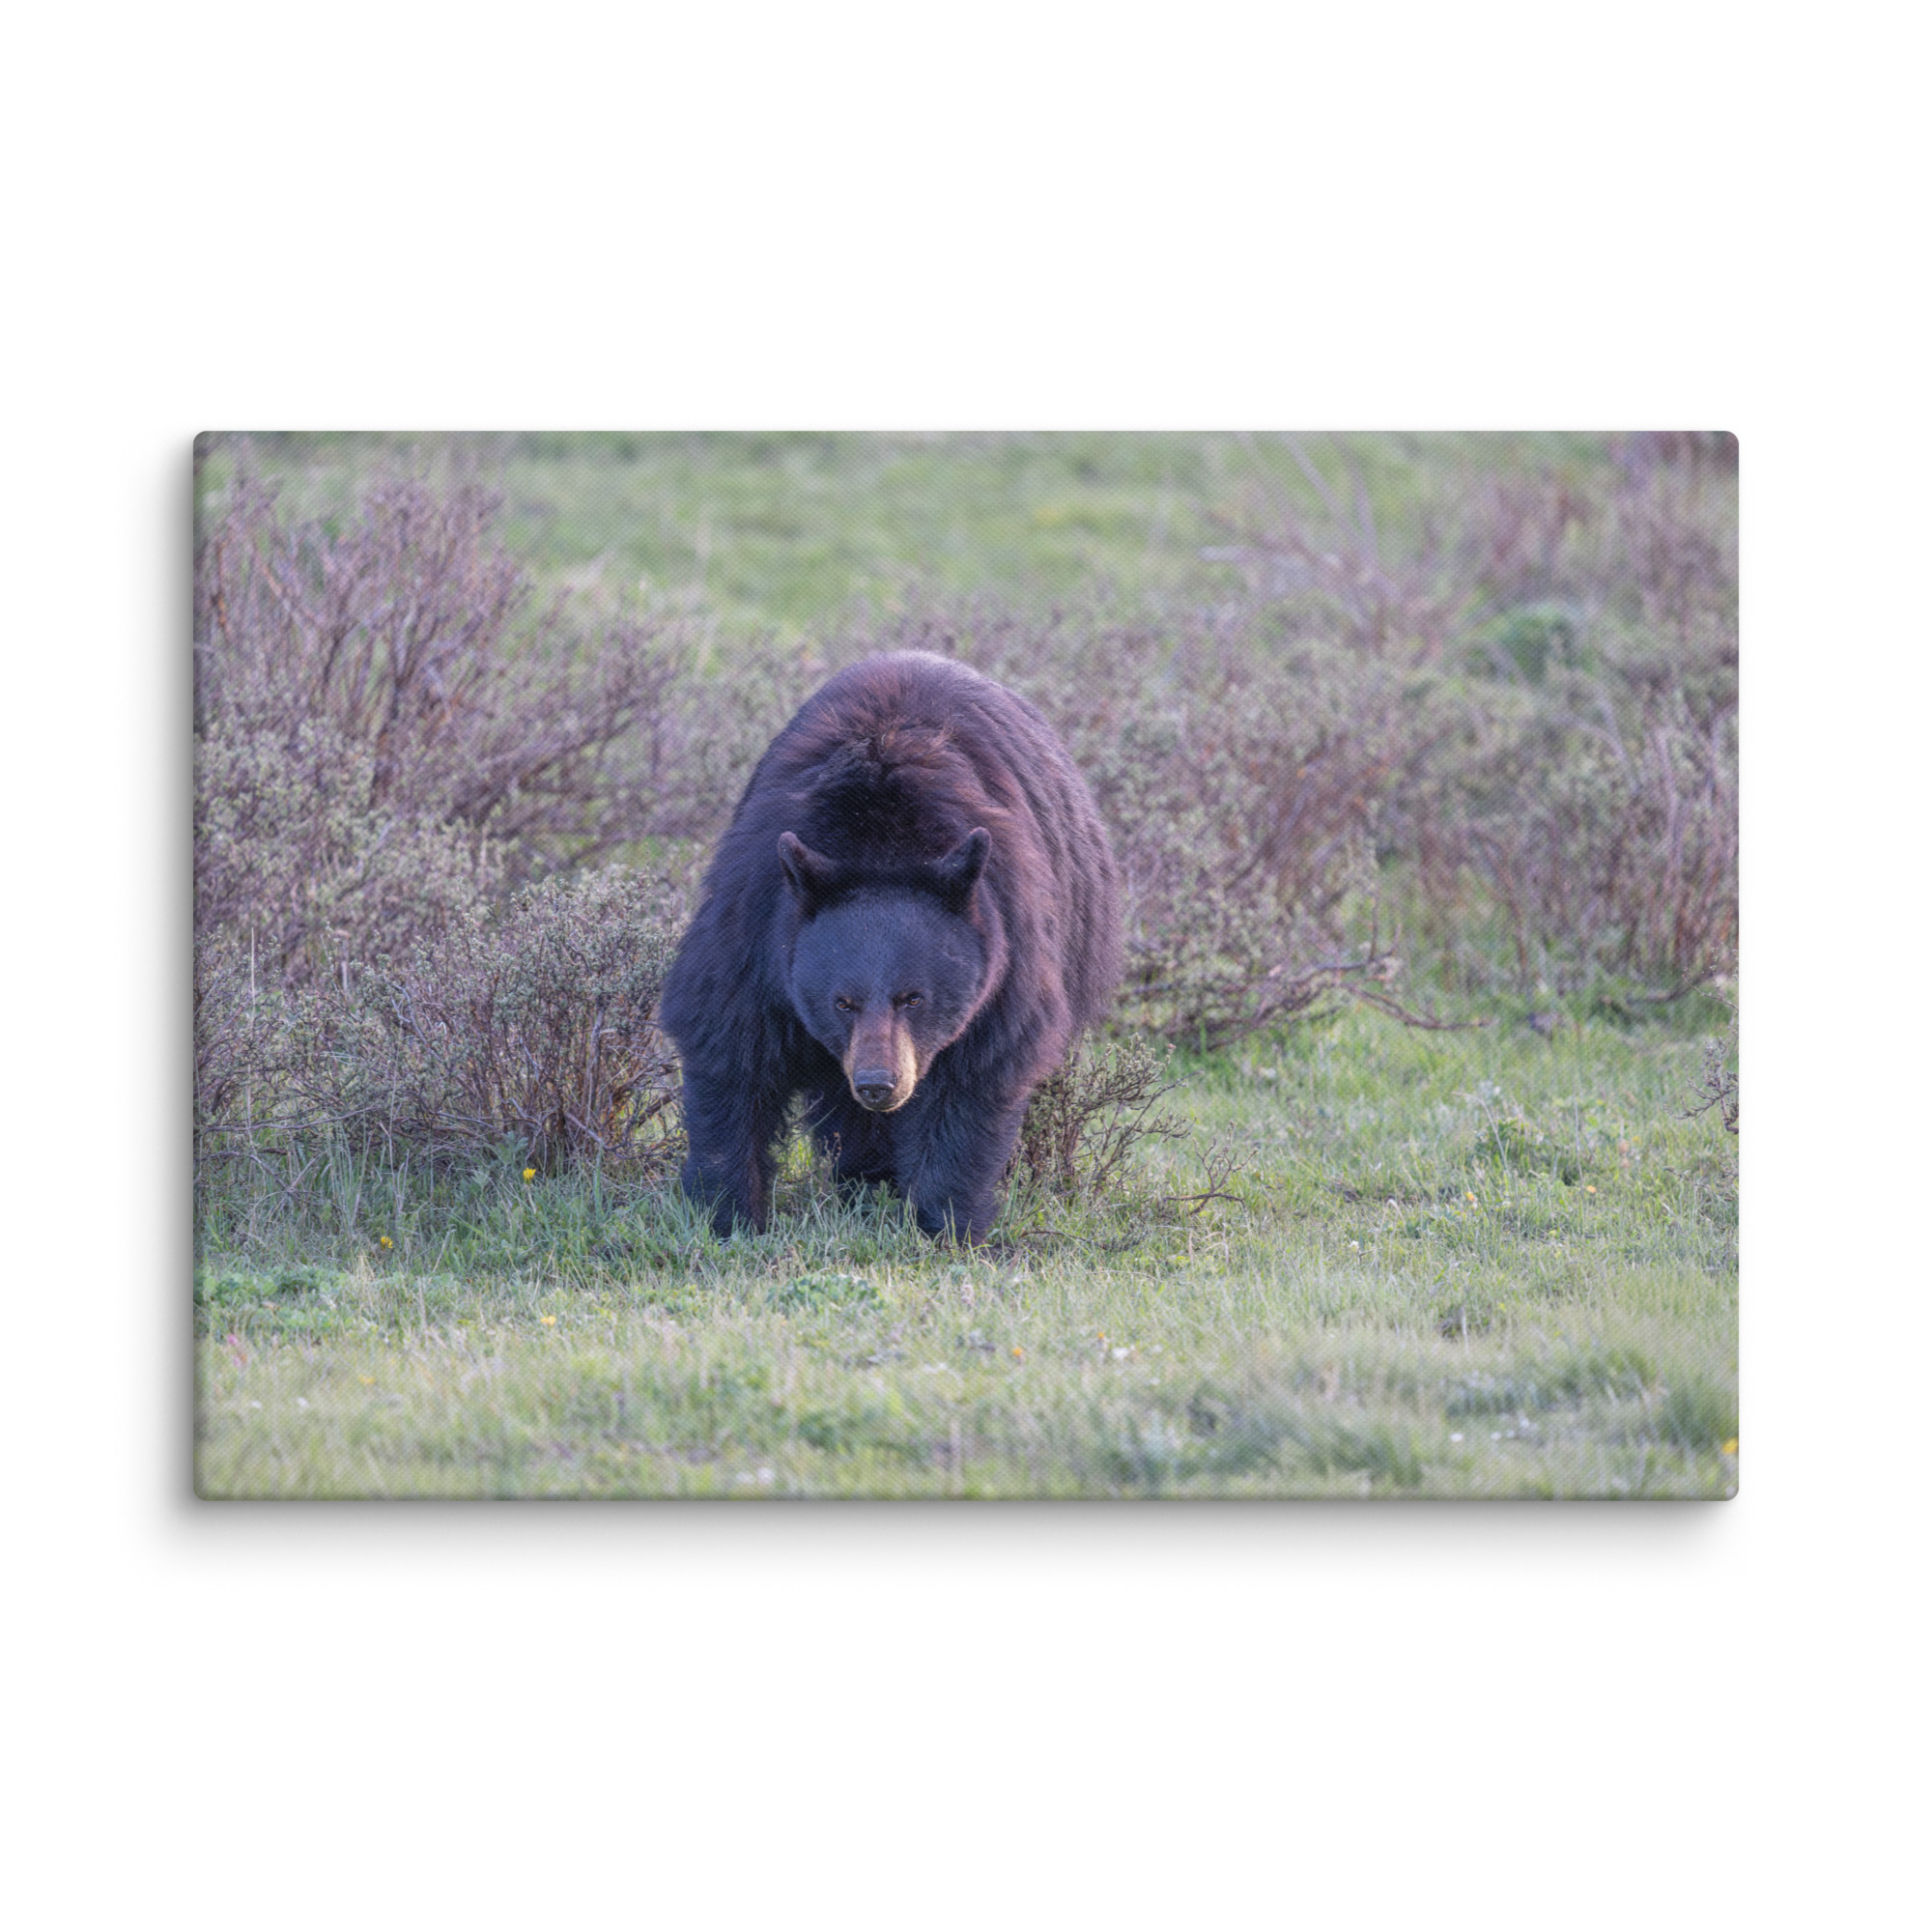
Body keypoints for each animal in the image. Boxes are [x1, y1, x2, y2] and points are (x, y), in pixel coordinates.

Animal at [660, 651, 1122, 1244]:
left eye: (914, 997)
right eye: (842, 1001)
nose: (879, 1084)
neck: (880, 840)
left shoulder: (1006, 946)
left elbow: (974, 1078)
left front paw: (947, 1224)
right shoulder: (757, 924)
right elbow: (730, 1048)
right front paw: (728, 1214)